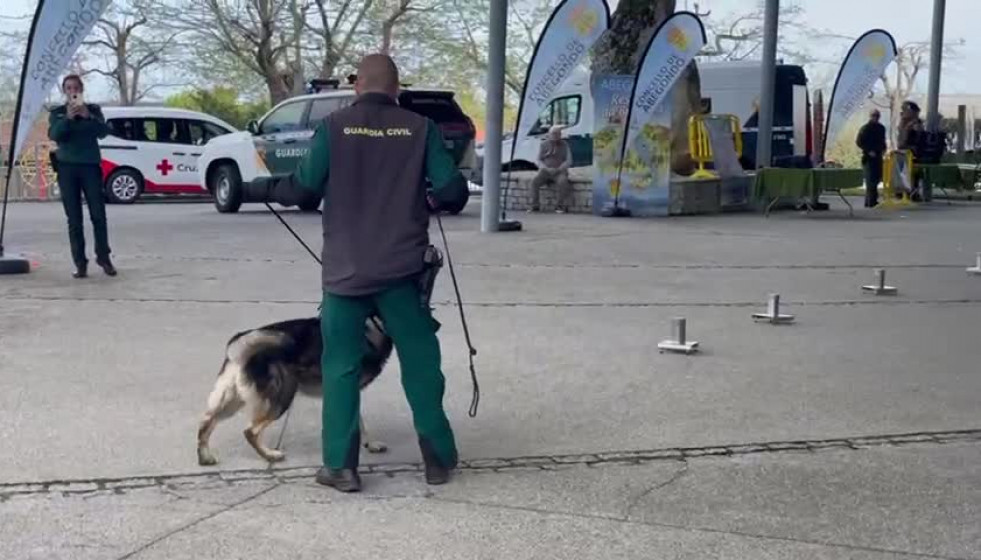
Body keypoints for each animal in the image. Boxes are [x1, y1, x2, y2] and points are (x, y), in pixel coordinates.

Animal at [195, 318, 394, 466]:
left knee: (206, 423)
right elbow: (358, 422)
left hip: (231, 401)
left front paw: (369, 444)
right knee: (250, 431)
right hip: (282, 398)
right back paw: (270, 455)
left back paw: (205, 457)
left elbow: (358, 421)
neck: (373, 322)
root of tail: (241, 347)